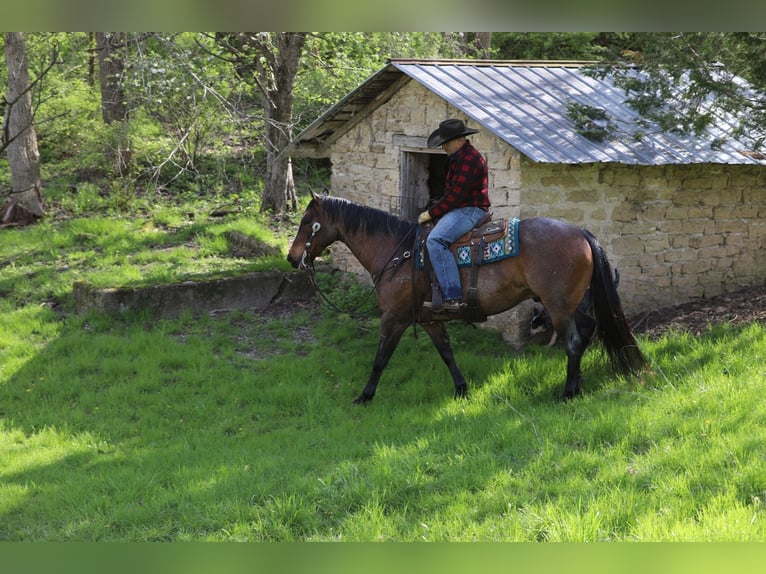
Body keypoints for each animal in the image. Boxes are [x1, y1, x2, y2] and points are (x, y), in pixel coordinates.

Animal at [287, 192, 647, 405]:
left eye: (307, 222)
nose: (292, 258)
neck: (398, 253)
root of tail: (581, 233)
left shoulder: (394, 318)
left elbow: (380, 359)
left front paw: (364, 396)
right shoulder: (428, 319)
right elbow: (446, 352)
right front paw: (461, 389)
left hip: (557, 306)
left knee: (573, 340)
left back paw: (568, 392)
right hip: (572, 303)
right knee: (587, 332)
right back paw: (579, 384)